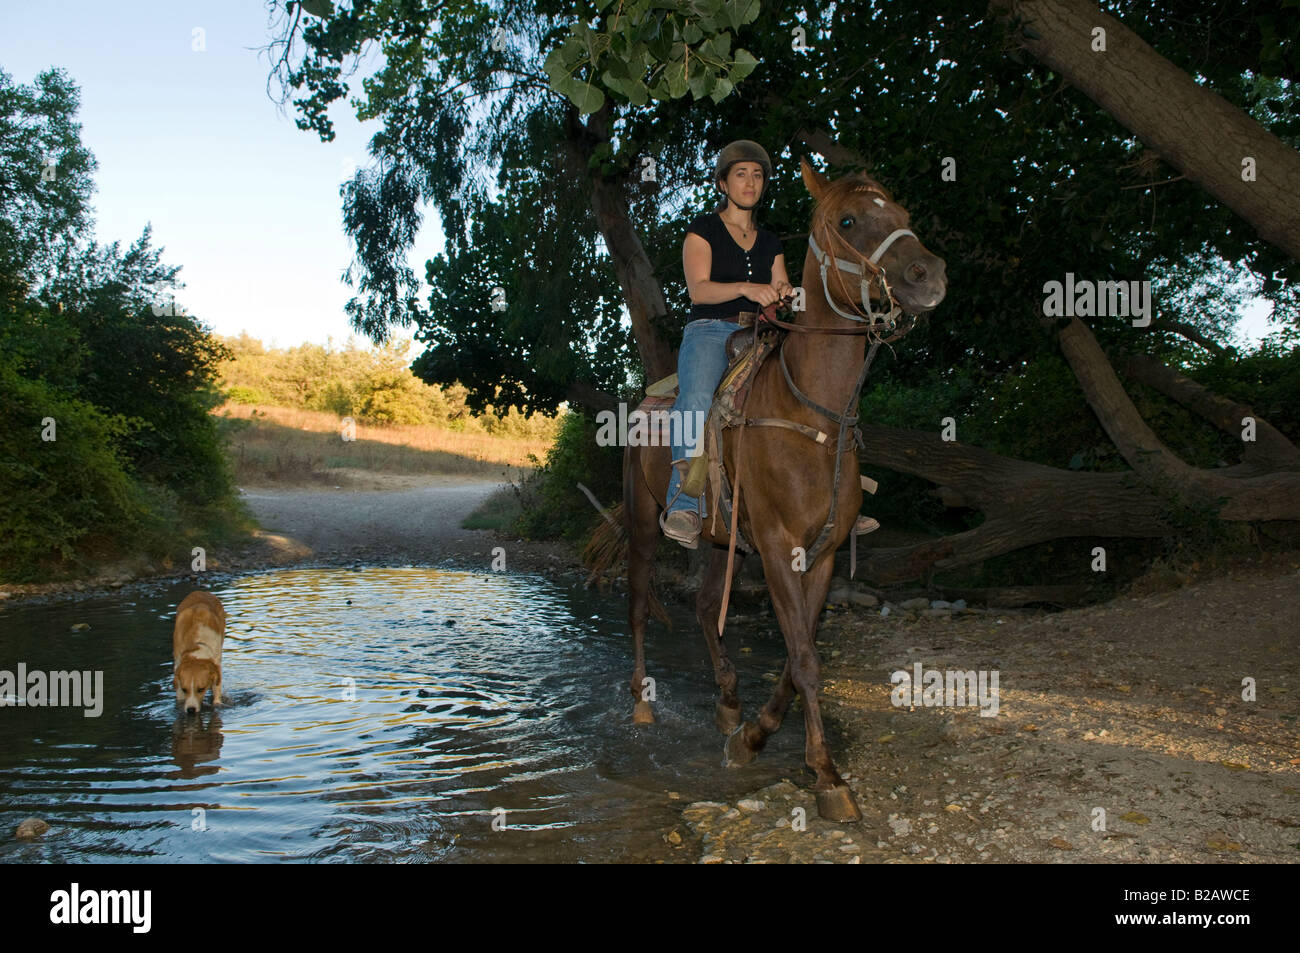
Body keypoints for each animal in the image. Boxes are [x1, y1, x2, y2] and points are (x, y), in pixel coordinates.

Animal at [622, 156, 947, 822]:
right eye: (848, 220)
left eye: (902, 213)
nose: (929, 275)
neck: (812, 411)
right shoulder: (776, 548)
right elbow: (803, 657)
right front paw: (826, 776)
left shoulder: (820, 553)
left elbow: (800, 661)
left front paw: (753, 736)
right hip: (644, 521)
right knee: (640, 604)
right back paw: (642, 703)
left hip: (721, 541)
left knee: (704, 607)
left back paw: (727, 705)